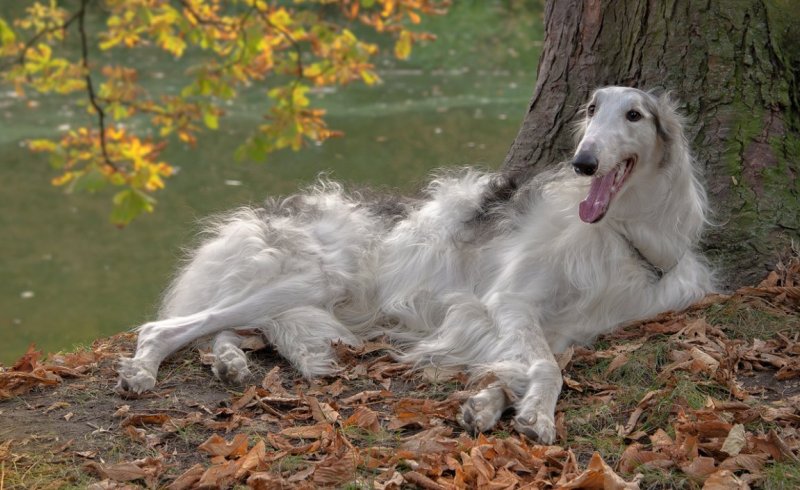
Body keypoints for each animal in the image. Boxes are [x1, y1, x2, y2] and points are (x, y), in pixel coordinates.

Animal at [117, 87, 712, 444]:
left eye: (634, 115)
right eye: (591, 111)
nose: (582, 161)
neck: (623, 234)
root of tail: (264, 213)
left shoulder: (564, 329)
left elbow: (529, 366)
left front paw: (485, 405)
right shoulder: (509, 301)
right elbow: (545, 369)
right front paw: (536, 415)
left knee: (225, 326)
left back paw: (231, 362)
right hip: (308, 277)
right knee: (169, 325)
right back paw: (144, 371)